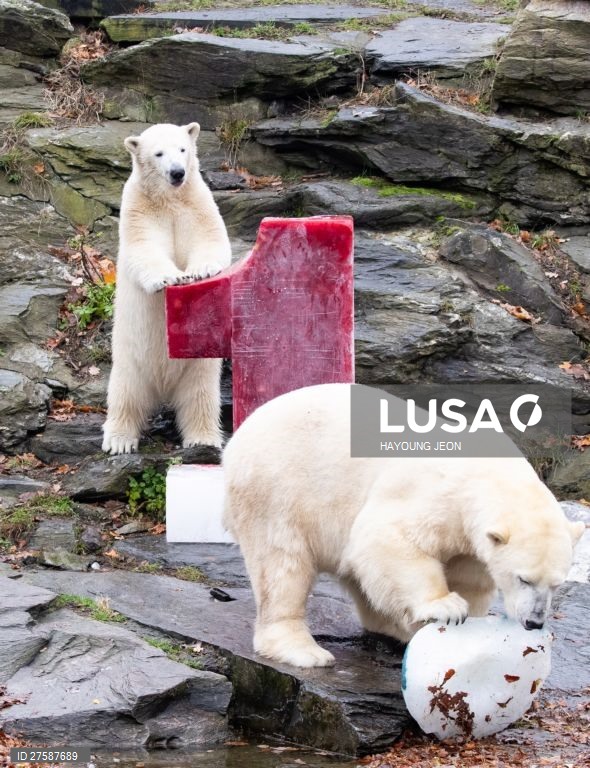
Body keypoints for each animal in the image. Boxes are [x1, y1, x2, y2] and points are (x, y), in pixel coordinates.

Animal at [102, 122, 231, 455]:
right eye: (159, 153)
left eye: (182, 149)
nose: (177, 173)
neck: (170, 199)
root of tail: (163, 389)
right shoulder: (138, 209)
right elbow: (144, 247)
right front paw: (171, 279)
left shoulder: (198, 203)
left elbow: (210, 239)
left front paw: (198, 273)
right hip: (129, 362)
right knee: (124, 396)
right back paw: (119, 440)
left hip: (199, 365)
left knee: (200, 398)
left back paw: (203, 438)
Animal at [223, 383, 584, 668]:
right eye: (524, 578)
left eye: (557, 584)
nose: (534, 621)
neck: (487, 476)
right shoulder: (434, 494)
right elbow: (388, 539)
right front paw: (446, 607)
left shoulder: (471, 544)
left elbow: (469, 576)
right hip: (277, 488)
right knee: (282, 566)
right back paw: (303, 649)